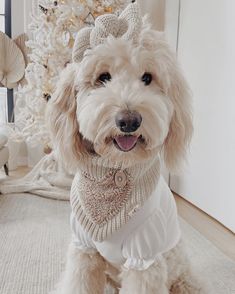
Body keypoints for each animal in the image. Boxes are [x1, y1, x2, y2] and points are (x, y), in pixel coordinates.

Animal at [47, 2, 207, 294]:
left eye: (147, 77)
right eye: (103, 77)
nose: (129, 121)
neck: (114, 171)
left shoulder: (144, 258)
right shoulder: (84, 248)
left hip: (178, 271)